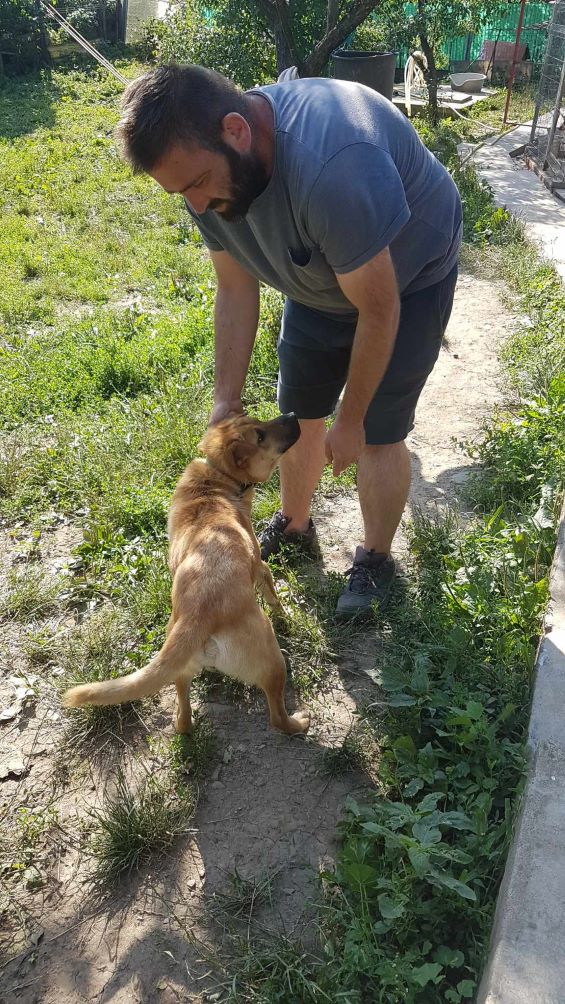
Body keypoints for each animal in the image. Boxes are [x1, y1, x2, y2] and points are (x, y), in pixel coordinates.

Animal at [64, 413, 311, 738]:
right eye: (259, 435)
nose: (293, 415)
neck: (216, 477)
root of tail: (198, 615)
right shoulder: (261, 567)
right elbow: (274, 598)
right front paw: (286, 616)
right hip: (272, 661)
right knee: (277, 718)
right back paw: (300, 722)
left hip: (179, 671)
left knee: (183, 718)